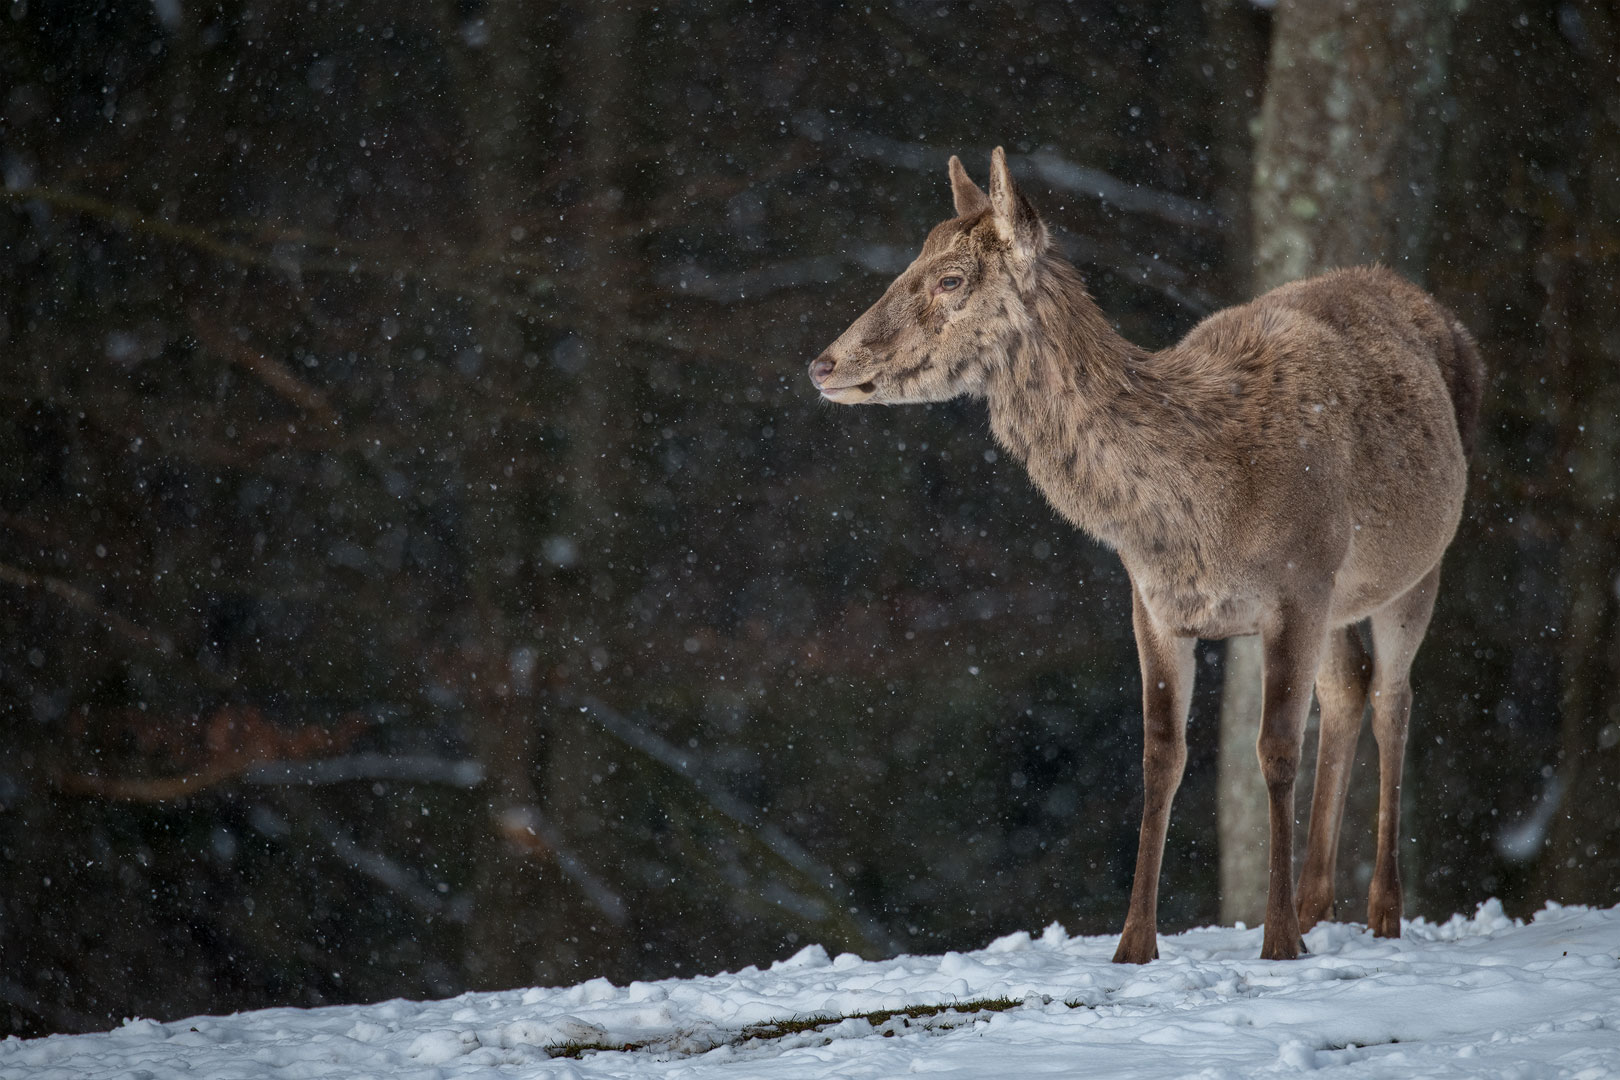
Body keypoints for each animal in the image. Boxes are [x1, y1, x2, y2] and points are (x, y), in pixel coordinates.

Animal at [806, 145, 1483, 965]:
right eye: (912, 262)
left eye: (950, 280)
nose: (823, 364)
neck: (1198, 511)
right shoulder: (1155, 604)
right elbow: (1161, 756)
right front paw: (1135, 944)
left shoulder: (1298, 583)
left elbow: (1274, 748)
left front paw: (1278, 942)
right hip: (1342, 596)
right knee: (1349, 692)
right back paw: (1320, 903)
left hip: (1414, 566)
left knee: (1393, 698)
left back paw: (1381, 911)